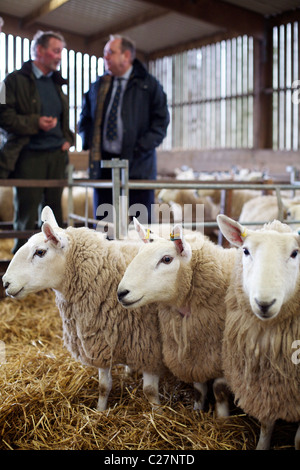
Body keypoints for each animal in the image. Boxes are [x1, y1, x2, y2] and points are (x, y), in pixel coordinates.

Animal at [2, 207, 166, 412]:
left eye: (40, 252)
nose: (5, 283)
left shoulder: (151, 349)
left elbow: (150, 391)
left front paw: (158, 414)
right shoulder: (100, 342)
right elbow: (104, 386)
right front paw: (100, 411)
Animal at [117, 218, 237, 416]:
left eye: (166, 259)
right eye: (139, 253)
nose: (121, 293)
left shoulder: (219, 357)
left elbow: (219, 391)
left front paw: (222, 419)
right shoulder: (195, 350)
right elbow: (199, 387)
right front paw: (197, 410)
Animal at [217, 215, 300, 450]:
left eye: (295, 253)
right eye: (245, 251)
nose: (264, 303)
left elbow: (298, 439)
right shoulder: (264, 389)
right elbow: (266, 425)